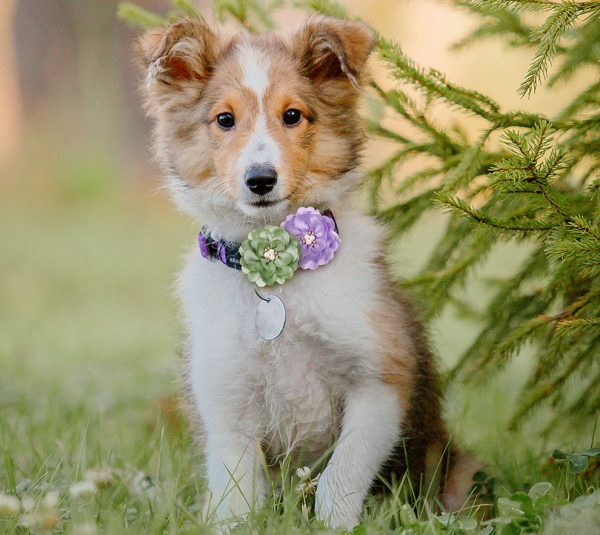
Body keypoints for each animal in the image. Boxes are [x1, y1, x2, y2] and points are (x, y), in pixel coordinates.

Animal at [135, 15, 478, 532]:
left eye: (293, 115)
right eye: (224, 119)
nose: (260, 179)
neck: (275, 274)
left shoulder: (381, 380)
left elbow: (341, 476)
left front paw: (335, 522)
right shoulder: (227, 403)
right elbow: (238, 500)